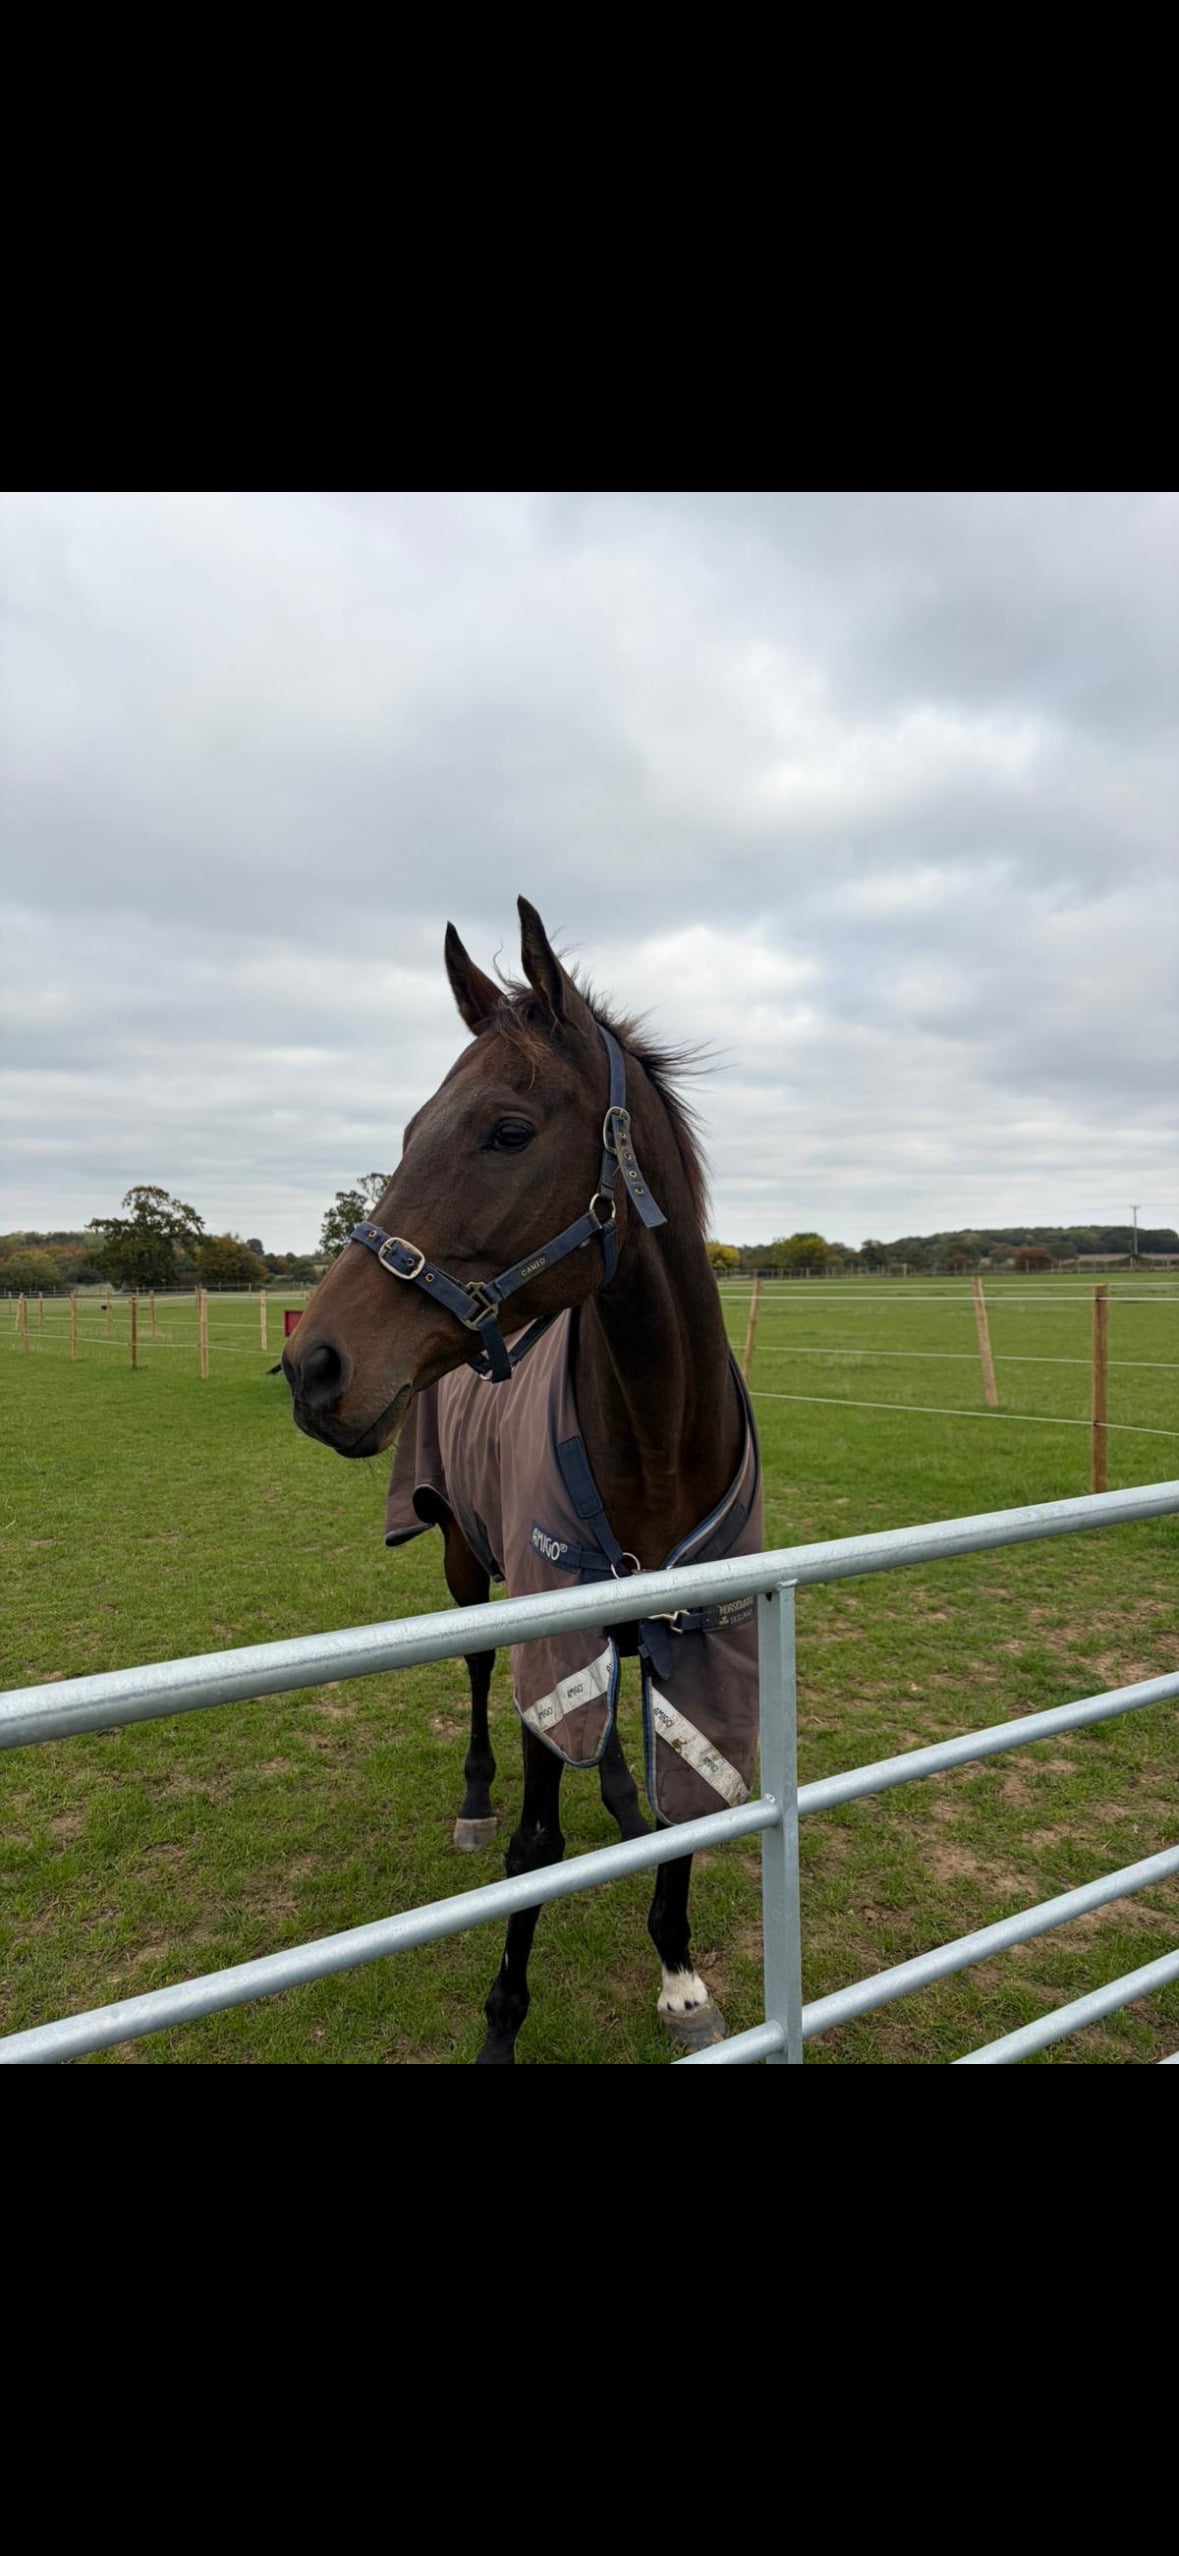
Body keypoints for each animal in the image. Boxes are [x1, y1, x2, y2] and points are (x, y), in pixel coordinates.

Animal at [283, 898, 763, 2064]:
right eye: (410, 1131)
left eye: (506, 1131)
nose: (314, 1367)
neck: (658, 1440)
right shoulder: (551, 1627)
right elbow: (535, 1849)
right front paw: (502, 2020)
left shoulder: (694, 1640)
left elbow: (684, 1808)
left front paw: (680, 1977)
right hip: (465, 1562)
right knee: (472, 1680)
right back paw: (474, 1796)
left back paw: (620, 1790)